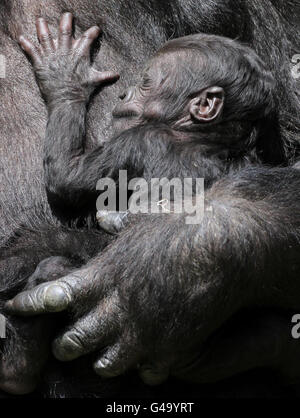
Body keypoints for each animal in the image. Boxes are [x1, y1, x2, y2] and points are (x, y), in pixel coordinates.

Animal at [0, 0, 298, 398]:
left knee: (54, 267)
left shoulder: (138, 138)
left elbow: (67, 177)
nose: (124, 95)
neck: (201, 138)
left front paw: (159, 267)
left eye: (145, 82)